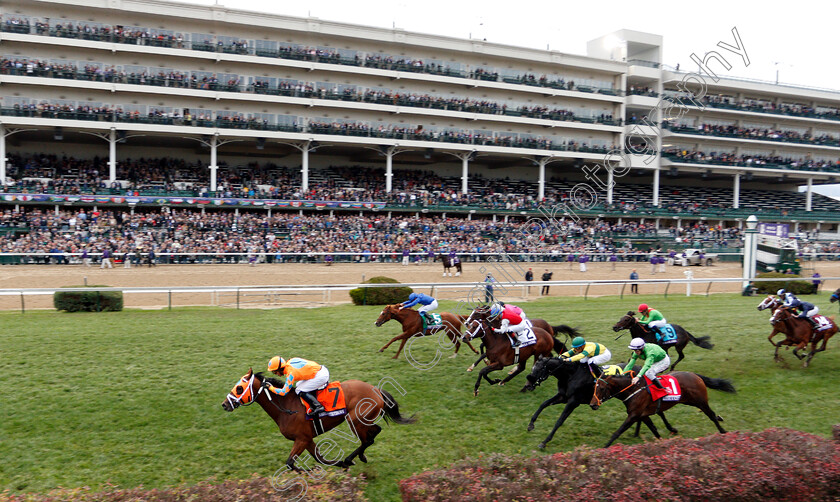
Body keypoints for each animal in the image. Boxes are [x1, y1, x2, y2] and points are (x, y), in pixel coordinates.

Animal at [223, 368, 416, 470]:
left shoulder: (301, 439)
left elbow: (290, 463)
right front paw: (337, 464)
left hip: (355, 420)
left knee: (368, 438)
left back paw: (351, 458)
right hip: (361, 421)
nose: (225, 404)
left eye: (239, 388)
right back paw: (358, 457)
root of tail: (376, 390)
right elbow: (318, 458)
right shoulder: (306, 439)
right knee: (374, 433)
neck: (286, 406)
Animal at [524, 356, 676, 452]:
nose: (529, 385)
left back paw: (671, 428)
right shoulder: (563, 397)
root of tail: (641, 368)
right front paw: (531, 424)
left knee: (657, 410)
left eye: (538, 369)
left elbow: (559, 421)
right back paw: (638, 432)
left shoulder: (573, 401)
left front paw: (544, 442)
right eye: (533, 368)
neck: (571, 374)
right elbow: (543, 404)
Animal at [592, 368, 736, 448]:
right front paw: (662, 443)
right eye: (594, 387)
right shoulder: (643, 415)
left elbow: (618, 432)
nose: (593, 404)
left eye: (602, 388)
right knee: (712, 414)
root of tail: (695, 375)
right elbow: (654, 430)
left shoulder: (634, 415)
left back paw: (723, 432)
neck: (634, 389)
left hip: (700, 402)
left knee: (711, 415)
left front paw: (605, 447)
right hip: (689, 401)